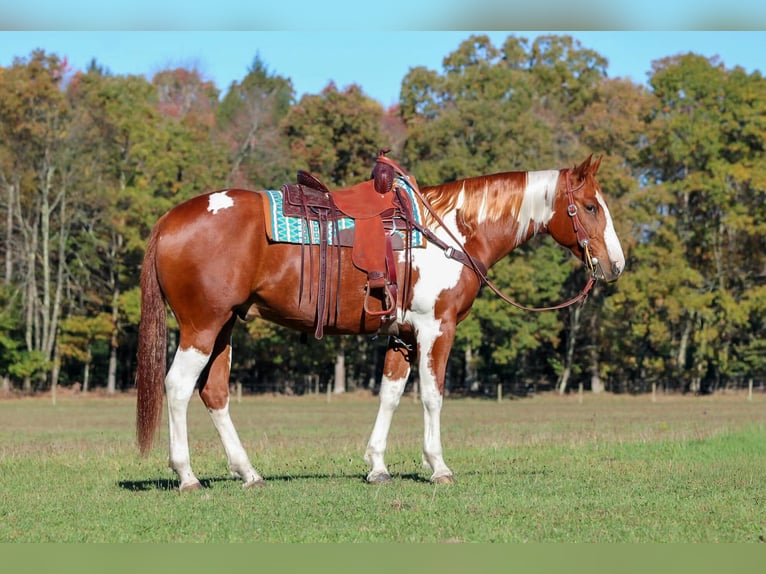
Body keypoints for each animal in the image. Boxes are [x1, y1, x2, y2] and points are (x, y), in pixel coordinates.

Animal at [135, 154, 625, 491]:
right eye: (590, 207)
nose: (616, 265)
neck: (451, 232)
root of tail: (169, 220)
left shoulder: (401, 336)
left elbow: (389, 396)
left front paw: (377, 466)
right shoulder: (436, 328)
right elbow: (432, 396)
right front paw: (438, 467)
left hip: (224, 328)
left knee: (214, 393)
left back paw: (248, 472)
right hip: (202, 326)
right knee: (178, 387)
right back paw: (187, 475)